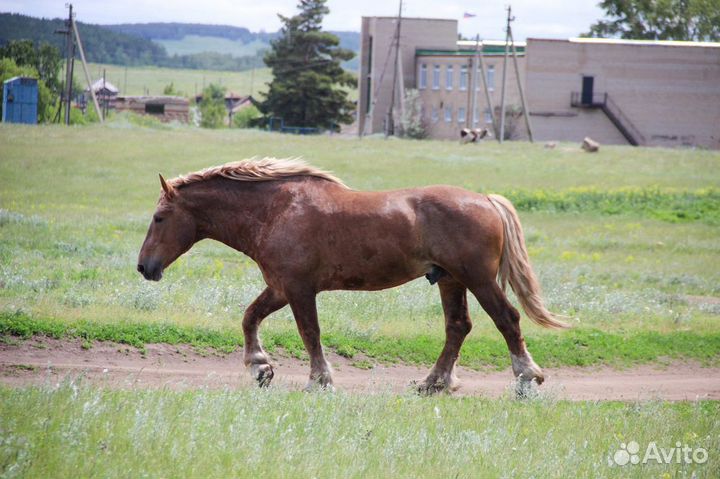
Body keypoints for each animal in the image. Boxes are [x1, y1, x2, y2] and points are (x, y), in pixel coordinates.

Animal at [136, 159, 568, 396]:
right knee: (458, 327)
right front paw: (260, 367)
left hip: (477, 279)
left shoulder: (299, 289)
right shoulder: (280, 287)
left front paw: (318, 380)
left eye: (159, 218)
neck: (275, 210)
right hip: (449, 280)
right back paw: (434, 383)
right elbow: (249, 317)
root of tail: (486, 200)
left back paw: (526, 377)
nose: (143, 266)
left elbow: (310, 333)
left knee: (507, 320)